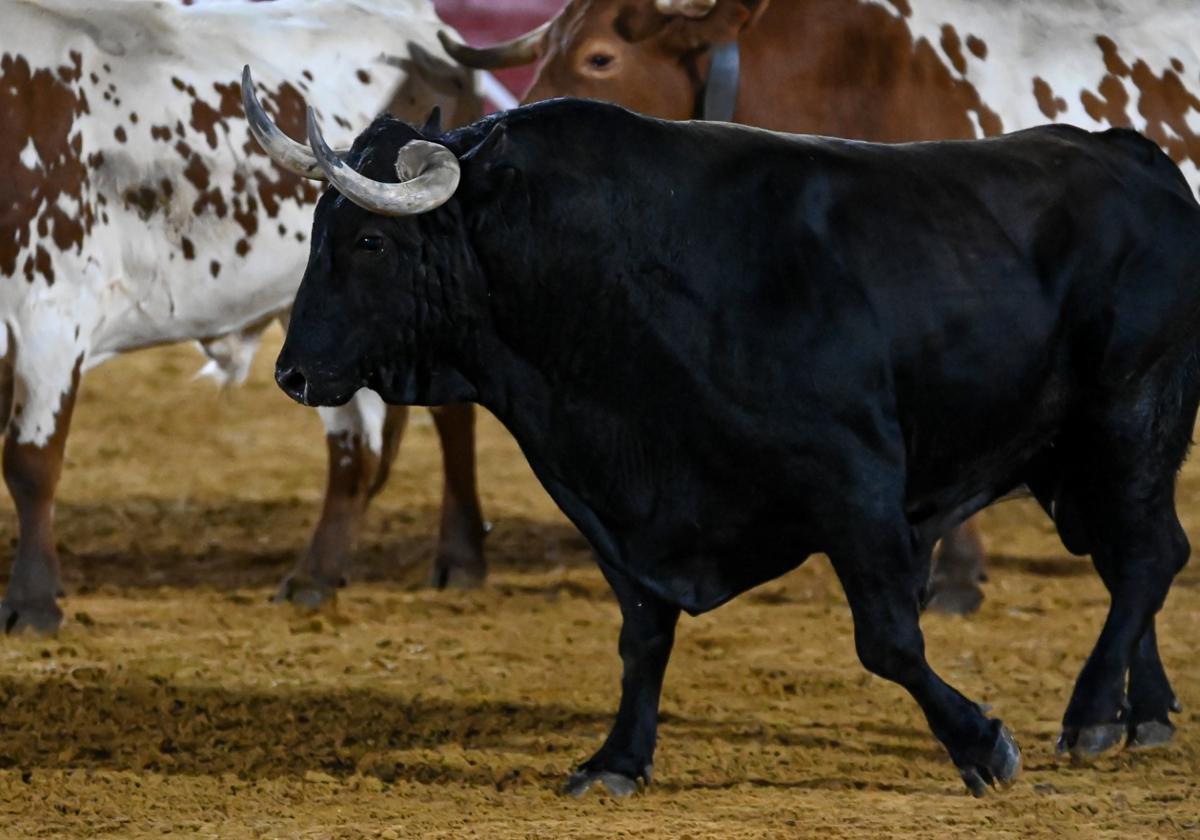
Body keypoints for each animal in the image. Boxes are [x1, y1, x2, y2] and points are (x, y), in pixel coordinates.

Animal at [1, 0, 487, 628]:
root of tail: (432, 31)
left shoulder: (52, 313)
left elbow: (31, 462)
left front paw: (32, 603)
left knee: (449, 416)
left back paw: (461, 558)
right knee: (355, 448)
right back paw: (314, 576)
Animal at [272, 102, 1200, 796]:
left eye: (370, 241)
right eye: (317, 229)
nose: (291, 371)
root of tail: (1134, 156)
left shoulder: (857, 485)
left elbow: (889, 640)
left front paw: (981, 745)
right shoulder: (617, 509)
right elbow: (643, 635)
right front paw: (616, 760)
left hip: (1129, 419)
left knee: (1147, 556)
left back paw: (1091, 714)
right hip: (1074, 460)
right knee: (1135, 556)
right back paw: (1142, 713)